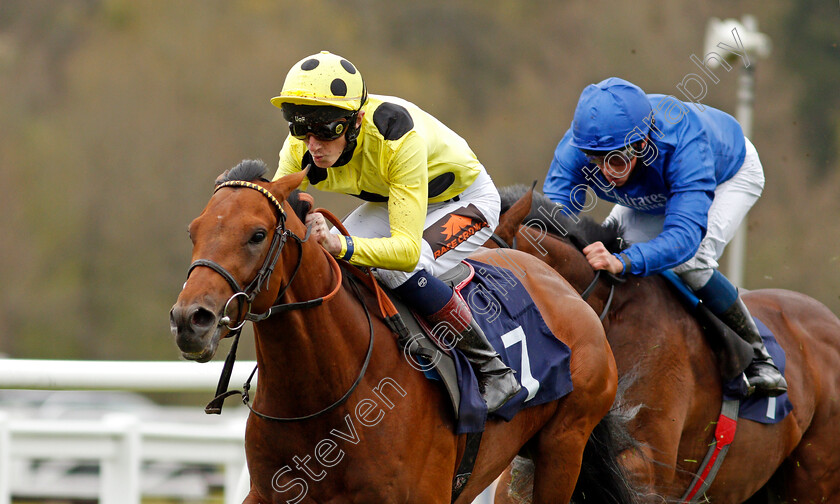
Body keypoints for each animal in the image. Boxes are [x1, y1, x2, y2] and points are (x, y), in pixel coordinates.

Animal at [171, 162, 636, 504]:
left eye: (257, 234)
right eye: (193, 231)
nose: (191, 319)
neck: (324, 394)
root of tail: (562, 288)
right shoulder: (272, 493)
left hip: (563, 445)